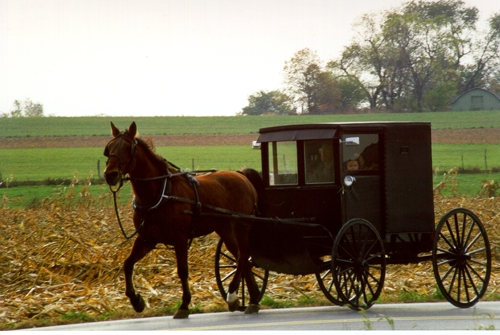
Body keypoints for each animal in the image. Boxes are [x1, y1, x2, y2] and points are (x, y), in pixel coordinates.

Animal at [104, 122, 264, 318]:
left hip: (239, 224)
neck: (160, 193)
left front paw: (184, 304)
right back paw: (253, 299)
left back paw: (233, 294)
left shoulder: (179, 238)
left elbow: (182, 271)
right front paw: (136, 301)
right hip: (225, 229)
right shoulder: (146, 239)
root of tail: (241, 174)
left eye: (127, 148)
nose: (110, 174)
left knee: (242, 256)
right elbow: (127, 264)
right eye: (110, 148)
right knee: (243, 258)